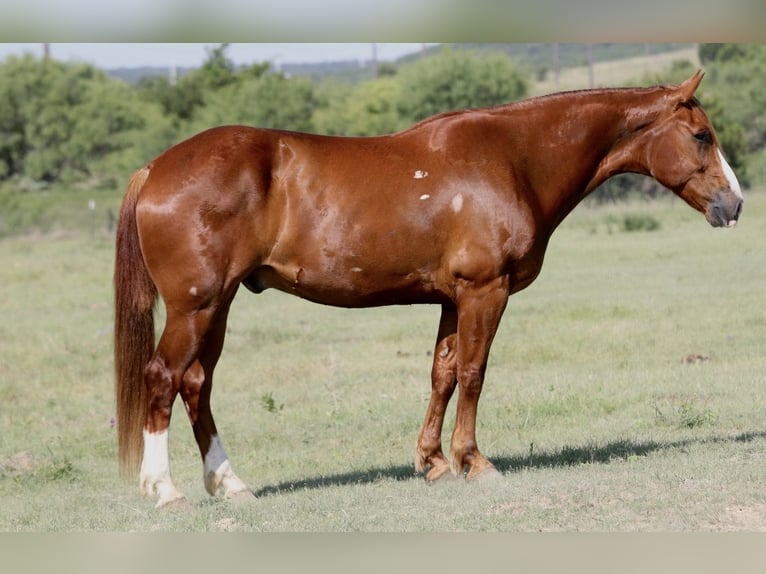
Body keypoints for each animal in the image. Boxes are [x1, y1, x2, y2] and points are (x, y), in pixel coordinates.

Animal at [114, 70, 742, 508]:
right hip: (196, 306)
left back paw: (231, 483)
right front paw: (474, 462)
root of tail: (154, 168)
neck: (513, 158)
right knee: (163, 377)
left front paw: (434, 462)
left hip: (217, 306)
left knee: (196, 385)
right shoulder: (485, 292)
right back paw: (165, 490)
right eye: (701, 135)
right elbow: (474, 372)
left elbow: (442, 373)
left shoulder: (451, 298)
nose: (734, 204)